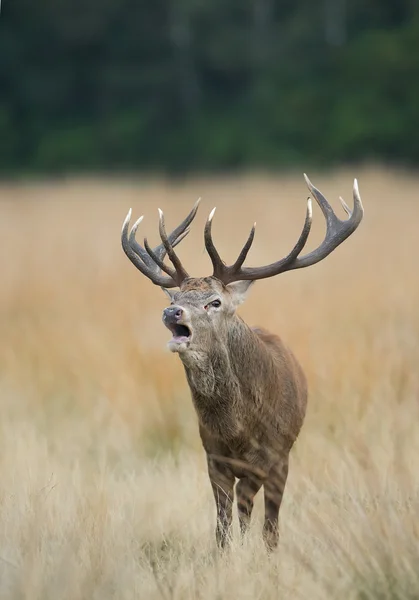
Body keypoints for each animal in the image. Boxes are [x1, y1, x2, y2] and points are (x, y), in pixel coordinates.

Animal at [121, 176, 364, 552]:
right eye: (176, 297)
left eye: (214, 302)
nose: (171, 312)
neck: (236, 429)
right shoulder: (213, 456)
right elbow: (222, 525)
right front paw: (225, 556)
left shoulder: (269, 456)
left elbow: (251, 516)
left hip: (285, 456)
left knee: (271, 523)